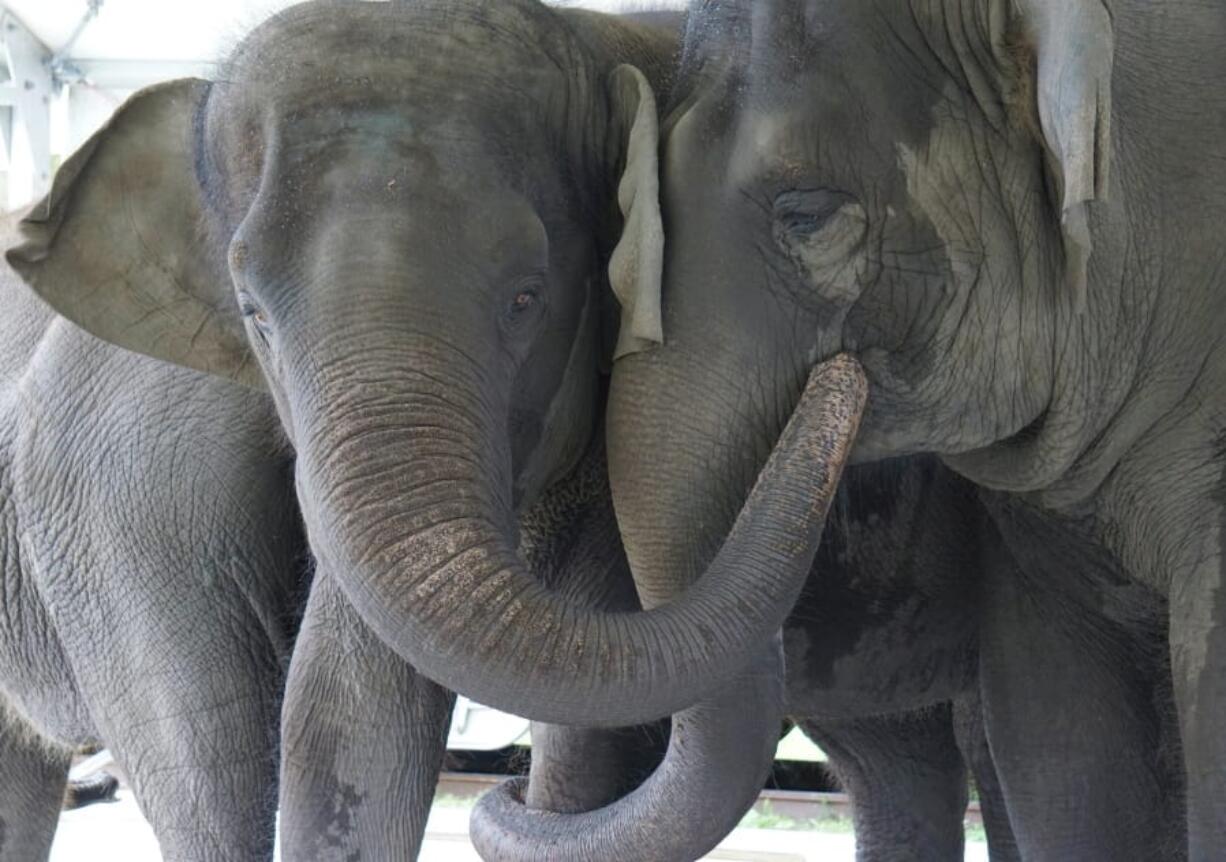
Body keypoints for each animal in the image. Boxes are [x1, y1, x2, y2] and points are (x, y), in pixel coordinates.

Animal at [9, 0, 872, 858]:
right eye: (253, 314)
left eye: (527, 296)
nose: (843, 376)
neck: (591, 32)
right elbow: (346, 711)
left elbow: (577, 724)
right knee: (205, 754)